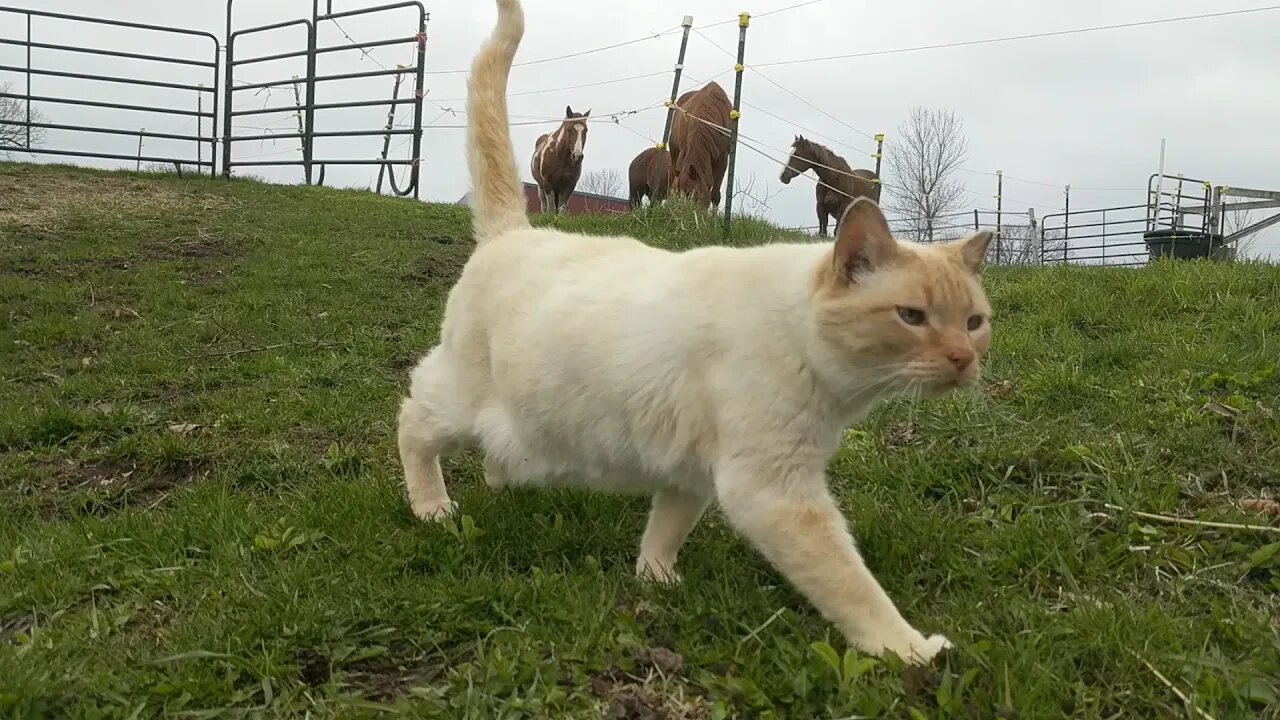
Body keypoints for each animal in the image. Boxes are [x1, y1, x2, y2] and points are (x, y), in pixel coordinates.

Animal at [394, 0, 993, 666]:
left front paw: (656, 579)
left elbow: (666, 529)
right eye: (912, 316)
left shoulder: (693, 474)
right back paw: (433, 507)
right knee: (412, 424)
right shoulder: (772, 490)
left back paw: (503, 483)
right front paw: (911, 649)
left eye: (974, 322)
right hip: (457, 399)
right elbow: (850, 583)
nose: (963, 358)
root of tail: (515, 231)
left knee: (491, 450)